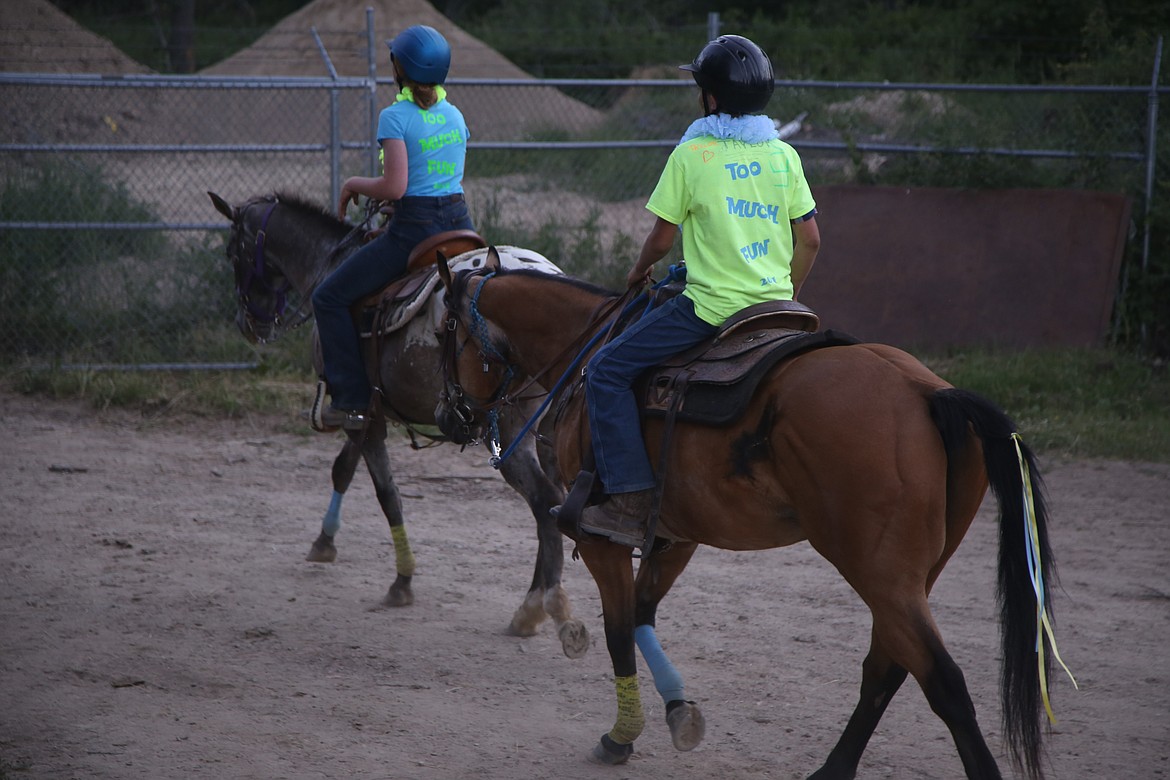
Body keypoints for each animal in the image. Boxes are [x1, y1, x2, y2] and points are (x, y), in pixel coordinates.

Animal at [207, 190, 589, 659]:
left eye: (232, 253)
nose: (248, 324)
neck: (327, 263)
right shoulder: (368, 411)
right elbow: (346, 469)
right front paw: (326, 542)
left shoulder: (360, 413)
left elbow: (381, 490)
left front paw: (398, 579)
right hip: (549, 428)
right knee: (550, 506)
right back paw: (533, 607)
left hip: (510, 430)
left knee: (543, 499)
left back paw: (540, 609)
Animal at [437, 251, 1071, 780]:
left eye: (443, 334)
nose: (449, 417)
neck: (589, 352)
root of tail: (925, 393)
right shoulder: (677, 536)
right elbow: (643, 615)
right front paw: (678, 712)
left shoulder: (599, 538)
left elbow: (619, 630)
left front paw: (621, 736)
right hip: (914, 574)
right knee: (886, 667)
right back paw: (832, 770)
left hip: (879, 573)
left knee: (942, 681)